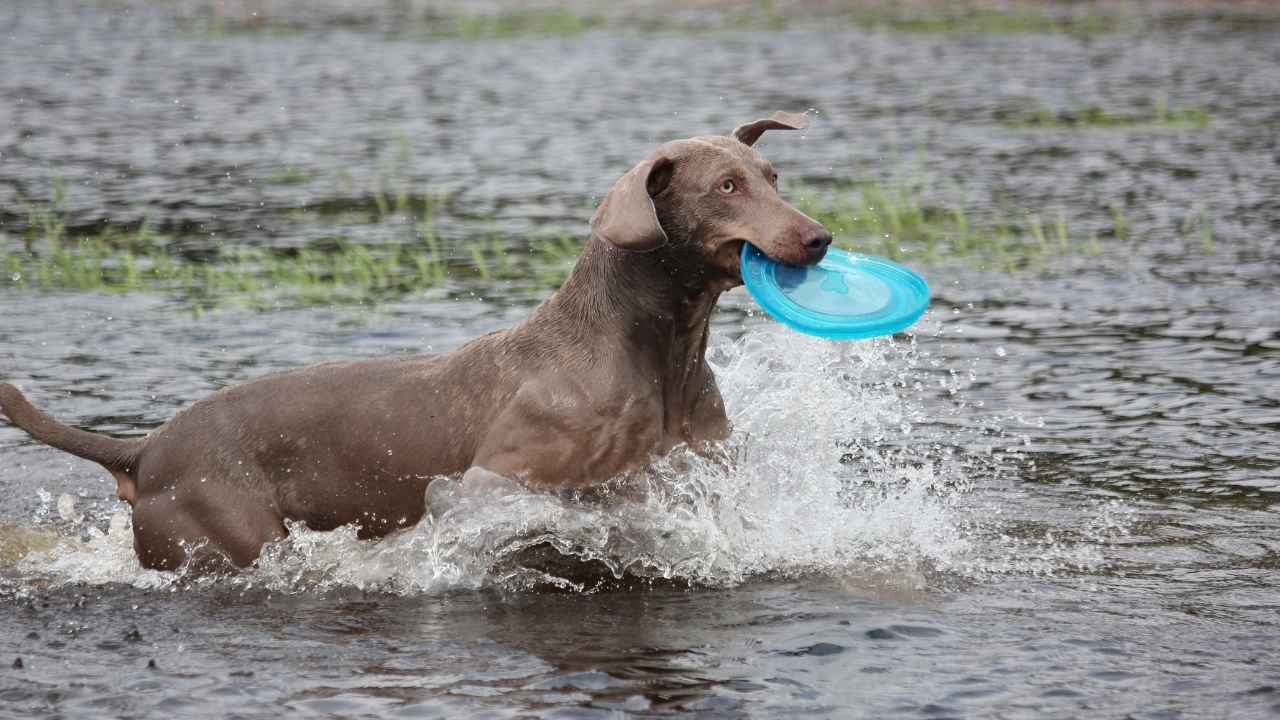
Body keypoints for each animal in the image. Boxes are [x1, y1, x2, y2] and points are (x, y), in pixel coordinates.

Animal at [0, 112, 834, 568]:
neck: (656, 349)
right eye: (725, 186)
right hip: (224, 533)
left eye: (772, 174)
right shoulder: (500, 479)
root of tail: (143, 448)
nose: (819, 237)